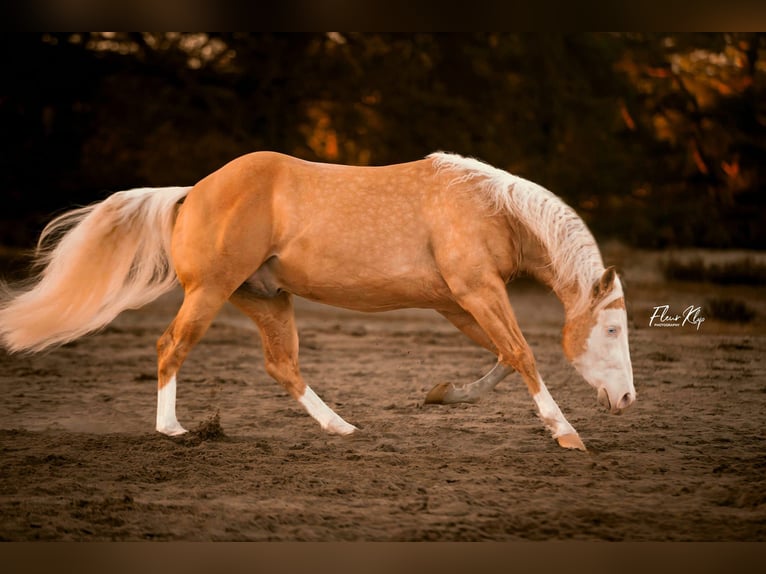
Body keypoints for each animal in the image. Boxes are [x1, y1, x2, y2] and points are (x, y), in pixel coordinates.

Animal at [0, 151, 636, 452]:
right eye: (611, 330)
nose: (628, 399)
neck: (487, 207)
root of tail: (191, 192)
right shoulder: (476, 291)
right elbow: (523, 354)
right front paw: (567, 434)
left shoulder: (457, 302)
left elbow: (506, 355)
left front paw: (443, 395)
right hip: (209, 292)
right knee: (171, 345)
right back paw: (173, 430)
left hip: (265, 299)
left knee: (282, 365)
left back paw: (342, 427)